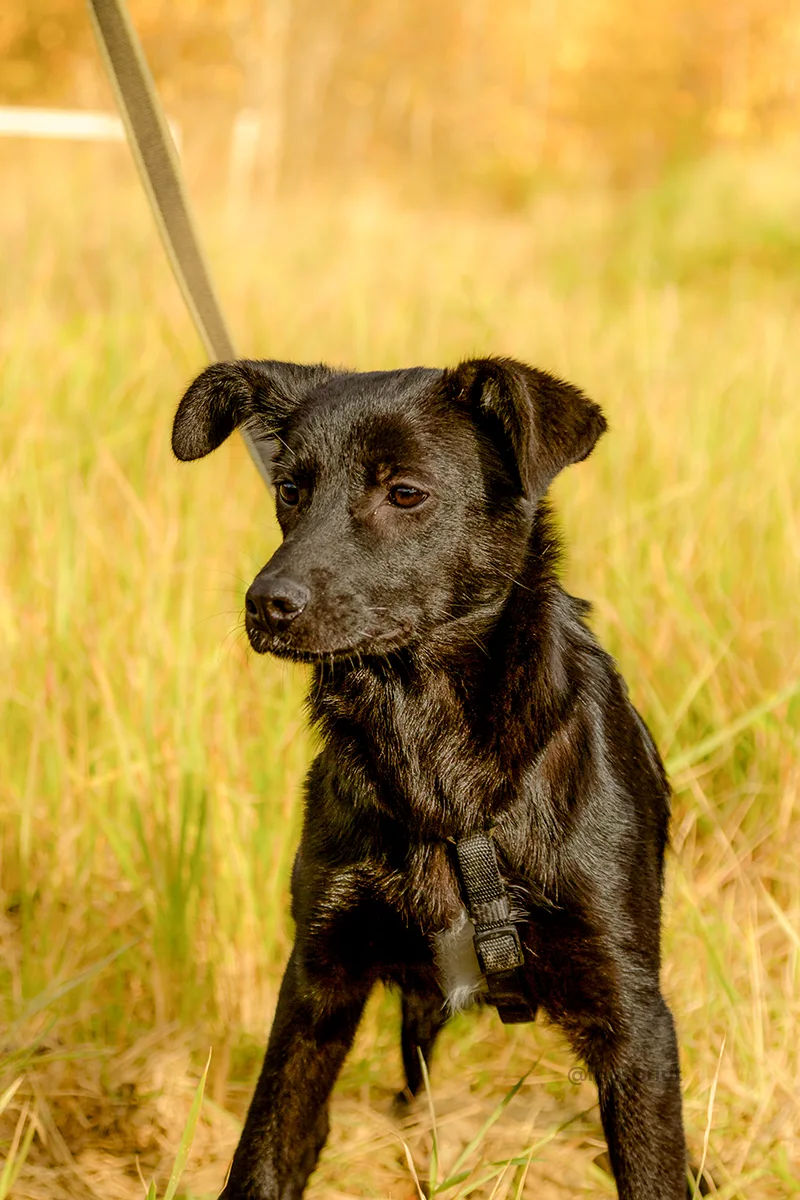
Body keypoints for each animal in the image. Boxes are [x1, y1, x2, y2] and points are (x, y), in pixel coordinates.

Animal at [173, 357, 690, 1200]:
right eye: (289, 488)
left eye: (406, 492)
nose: (266, 606)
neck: (432, 748)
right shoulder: (317, 983)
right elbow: (267, 1153)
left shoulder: (632, 1017)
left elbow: (655, 1170)